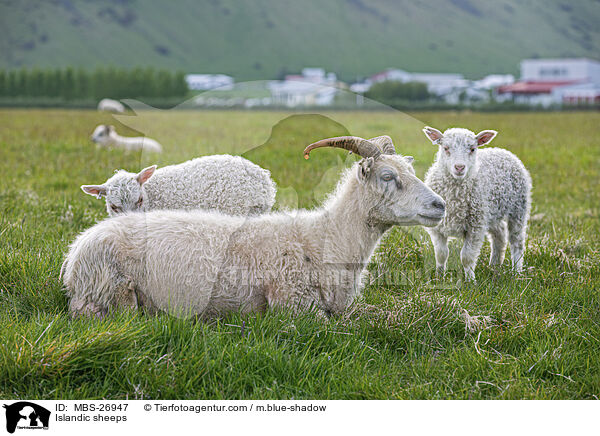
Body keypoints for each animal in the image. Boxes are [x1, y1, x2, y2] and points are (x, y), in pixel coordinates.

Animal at [420, 124, 532, 282]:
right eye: (446, 148)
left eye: (472, 149)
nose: (459, 167)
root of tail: (502, 151)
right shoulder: (438, 228)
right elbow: (441, 254)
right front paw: (439, 276)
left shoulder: (475, 227)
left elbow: (466, 257)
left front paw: (471, 281)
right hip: (491, 212)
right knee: (500, 234)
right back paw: (494, 266)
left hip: (518, 208)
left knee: (517, 241)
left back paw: (516, 272)